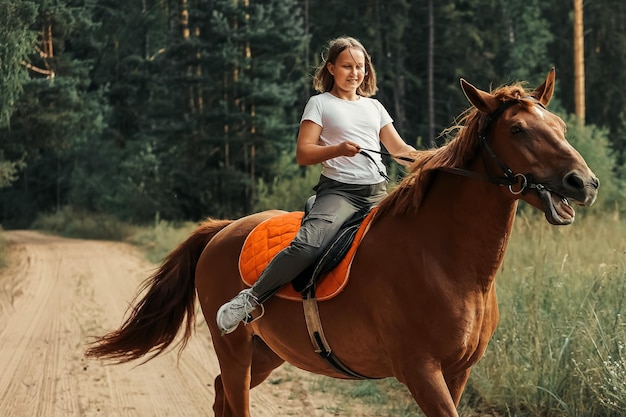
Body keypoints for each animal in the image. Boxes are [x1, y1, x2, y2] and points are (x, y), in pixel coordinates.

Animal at [85, 70, 596, 414]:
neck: (445, 262)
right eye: (517, 129)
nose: (583, 183)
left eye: (560, 127)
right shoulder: (420, 371)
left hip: (267, 352)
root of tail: (222, 229)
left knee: (218, 397)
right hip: (233, 347)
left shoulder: (458, 372)